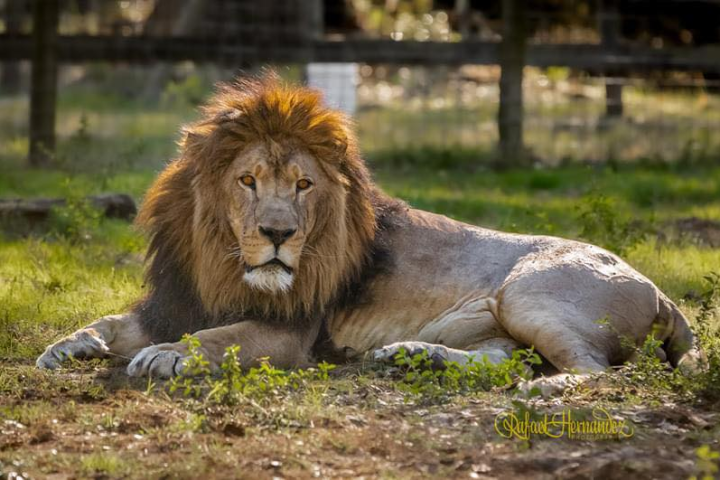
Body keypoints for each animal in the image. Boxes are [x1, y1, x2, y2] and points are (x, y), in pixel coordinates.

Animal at [37, 74, 702, 395]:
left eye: (303, 185)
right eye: (247, 180)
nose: (277, 234)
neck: (219, 257)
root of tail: (659, 289)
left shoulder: (290, 333)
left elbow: (216, 336)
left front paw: (166, 354)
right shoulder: (177, 297)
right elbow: (108, 322)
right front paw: (65, 348)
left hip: (526, 293)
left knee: (591, 371)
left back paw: (536, 392)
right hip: (498, 323)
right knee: (502, 359)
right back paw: (412, 357)